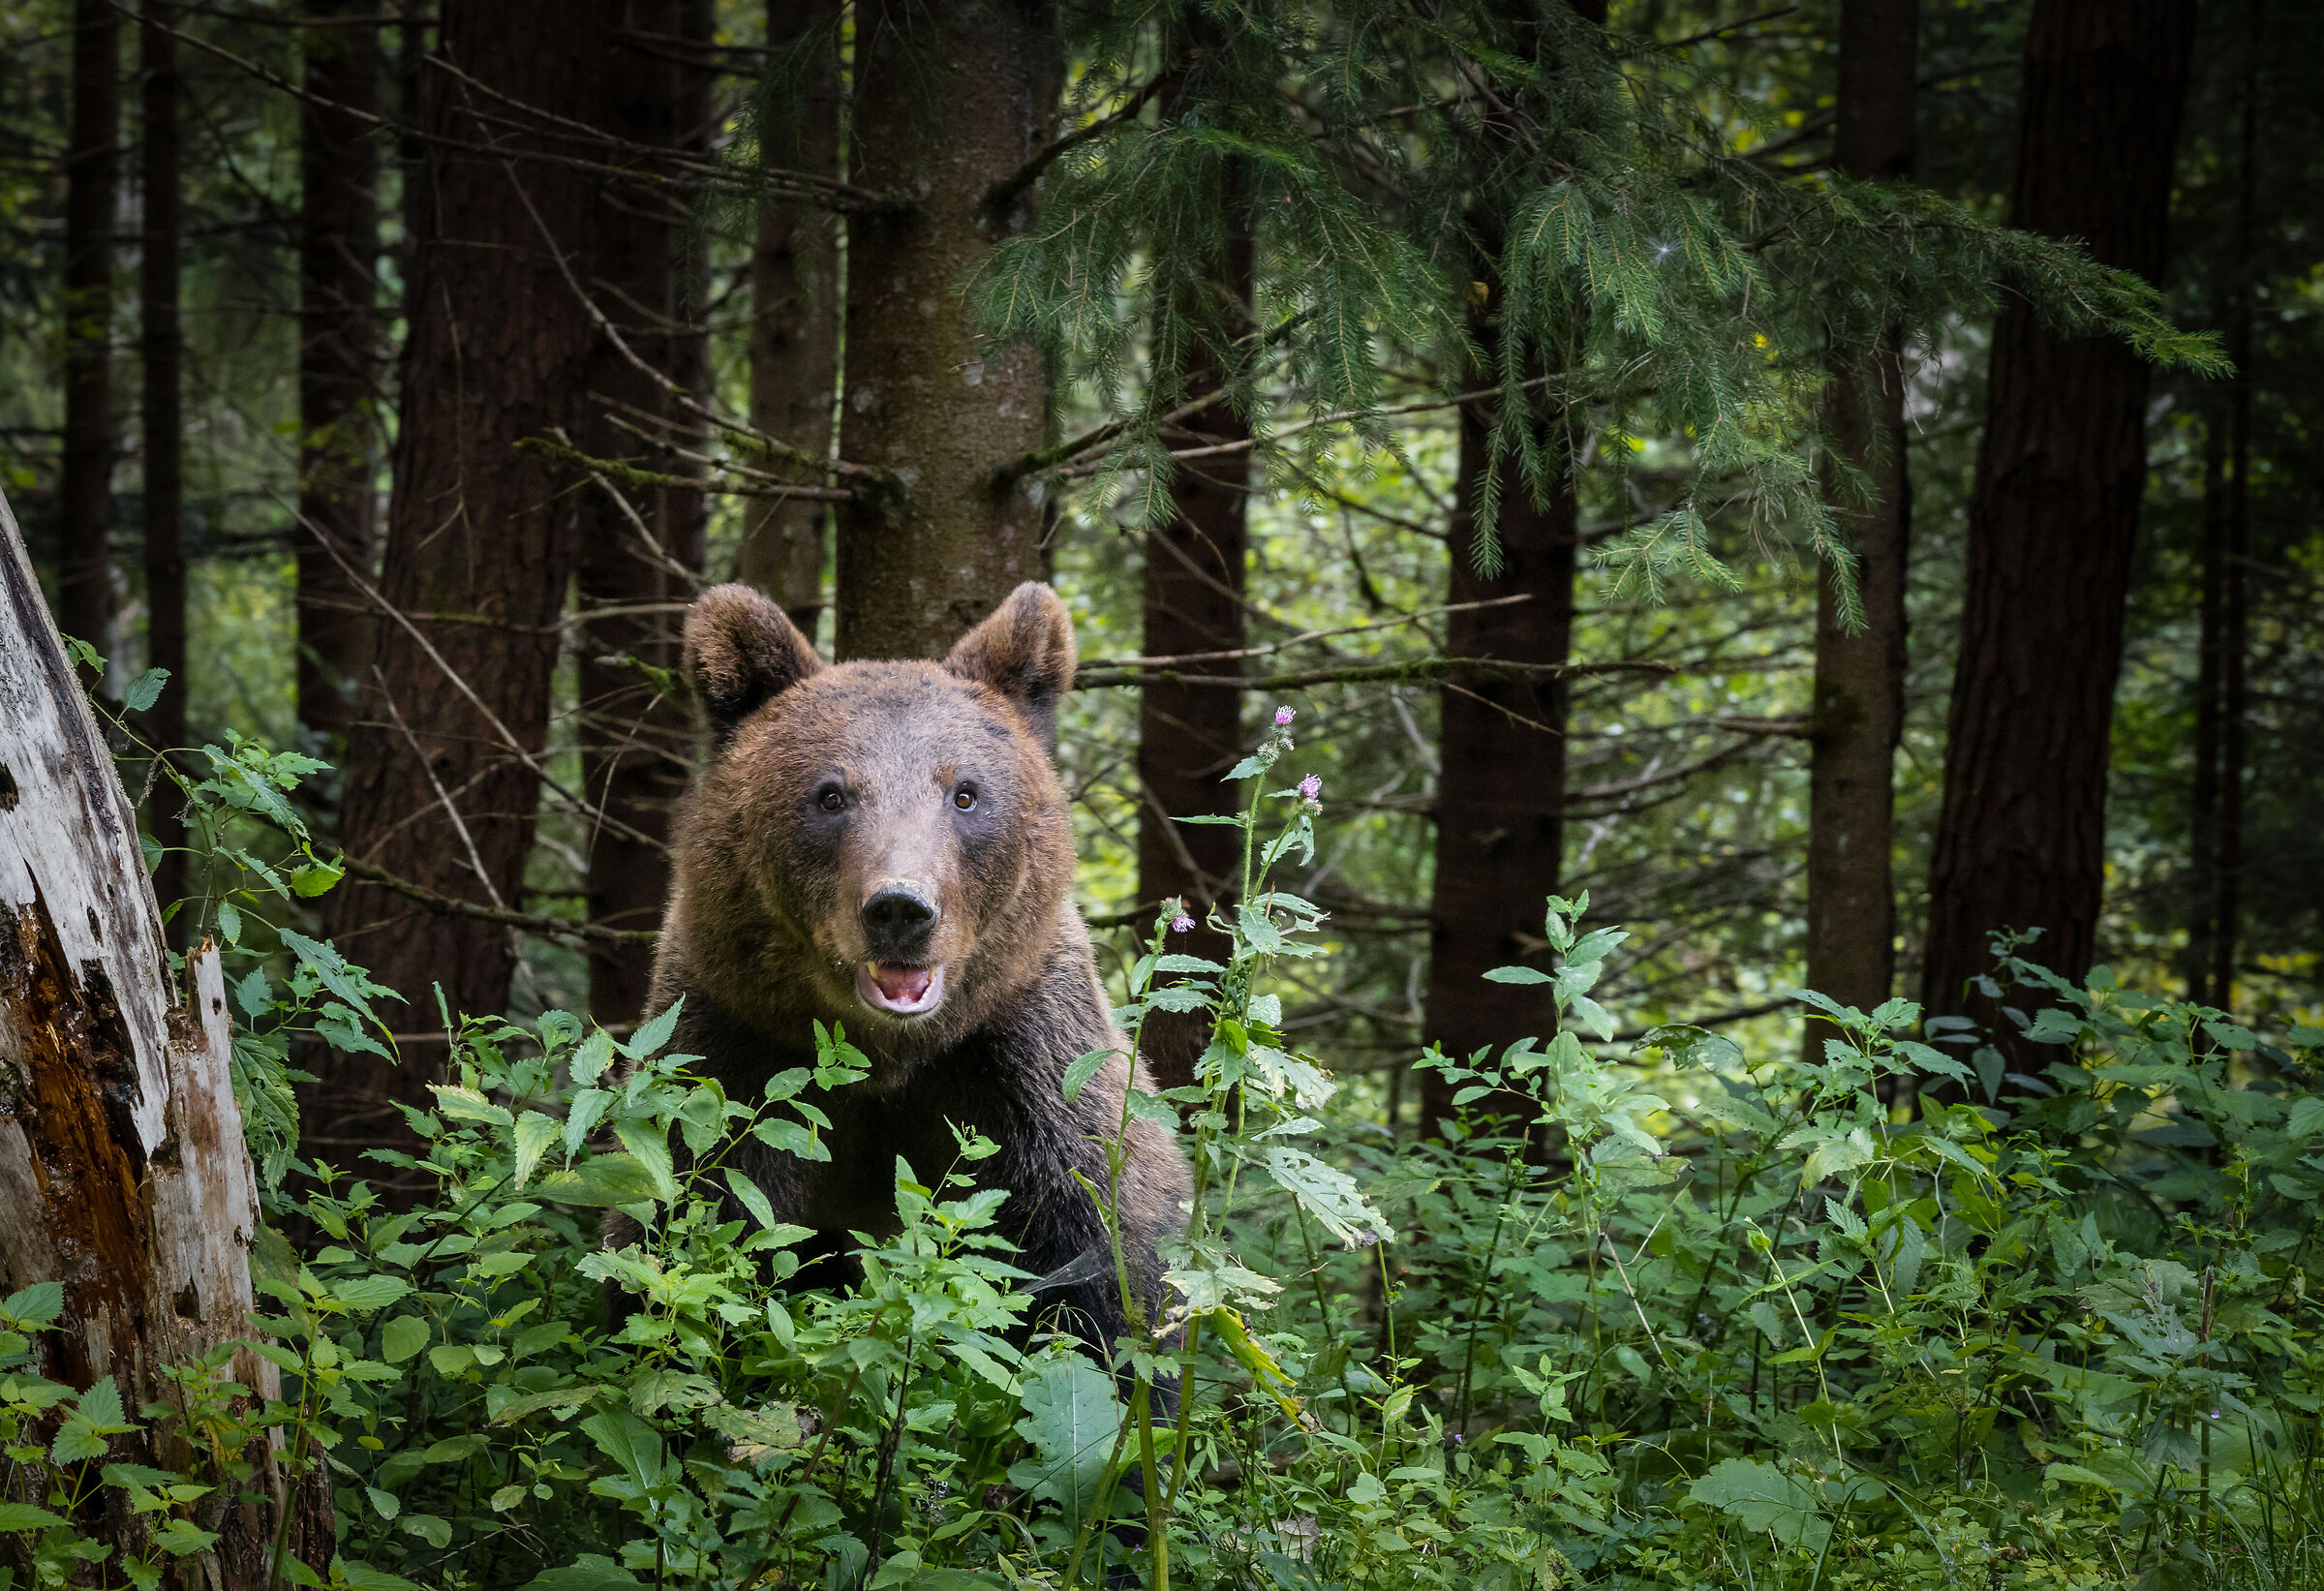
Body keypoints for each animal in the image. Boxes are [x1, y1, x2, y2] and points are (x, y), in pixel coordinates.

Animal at [647, 579, 1191, 1354]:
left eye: (964, 791)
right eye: (831, 793)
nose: (901, 907)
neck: (891, 1059)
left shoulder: (1024, 1064)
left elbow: (1105, 1264)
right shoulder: (735, 1046)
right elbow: (698, 1224)